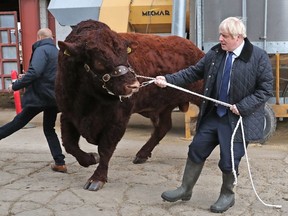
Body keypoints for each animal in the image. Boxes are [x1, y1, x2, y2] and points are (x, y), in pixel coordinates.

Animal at [56, 19, 204, 190]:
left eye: (125, 55)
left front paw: (97, 179)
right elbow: (69, 144)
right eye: (99, 60)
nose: (133, 85)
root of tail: (194, 48)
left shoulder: (118, 120)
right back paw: (141, 154)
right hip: (163, 107)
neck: (88, 100)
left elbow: (105, 149)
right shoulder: (68, 114)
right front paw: (90, 159)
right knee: (163, 127)